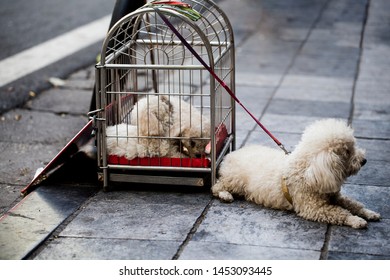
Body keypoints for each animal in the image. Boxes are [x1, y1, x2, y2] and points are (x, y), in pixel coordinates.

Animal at [212, 119, 380, 229]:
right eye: (347, 151)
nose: (364, 161)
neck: (306, 171)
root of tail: (230, 154)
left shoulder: (334, 196)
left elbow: (353, 204)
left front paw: (369, 213)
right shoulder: (313, 207)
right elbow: (339, 212)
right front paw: (356, 220)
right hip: (235, 180)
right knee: (216, 187)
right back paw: (225, 195)